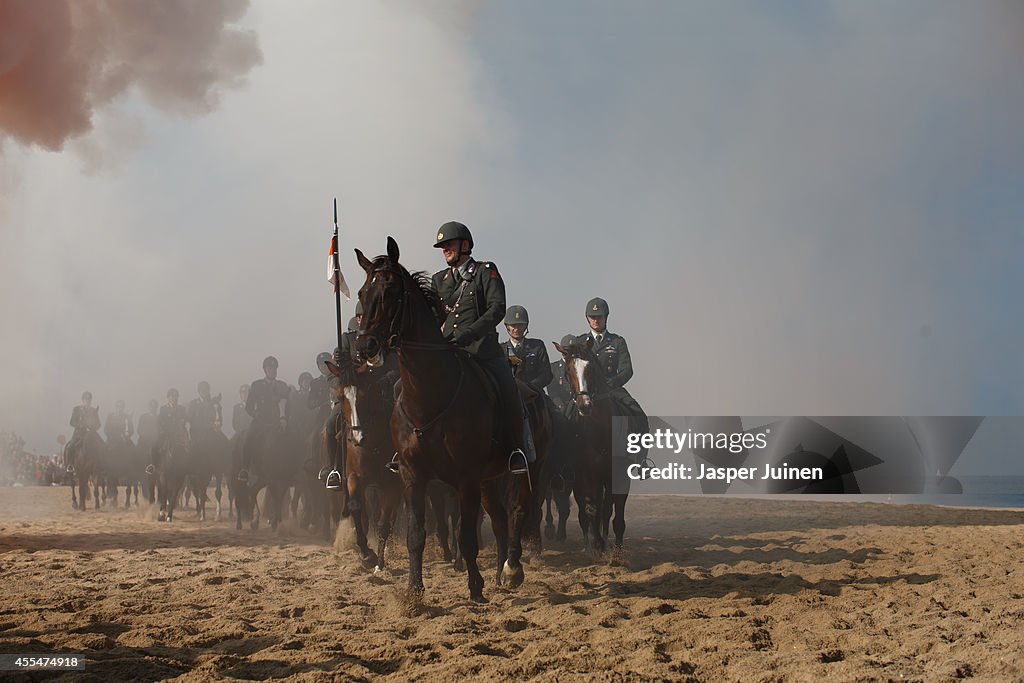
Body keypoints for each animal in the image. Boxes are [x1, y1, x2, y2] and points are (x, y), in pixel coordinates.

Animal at [354, 237, 532, 602]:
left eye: (390, 291)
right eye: (363, 292)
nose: (366, 345)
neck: (430, 395)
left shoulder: (465, 479)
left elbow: (466, 537)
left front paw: (475, 589)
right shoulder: (412, 477)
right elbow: (416, 535)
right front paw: (414, 590)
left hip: (515, 470)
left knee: (517, 512)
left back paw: (511, 569)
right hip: (487, 480)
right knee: (499, 518)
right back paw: (499, 574)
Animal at [557, 337, 626, 557]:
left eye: (591, 369)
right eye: (568, 371)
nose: (584, 405)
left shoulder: (616, 474)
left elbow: (614, 513)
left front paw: (616, 553)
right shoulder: (585, 474)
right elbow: (591, 509)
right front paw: (597, 545)